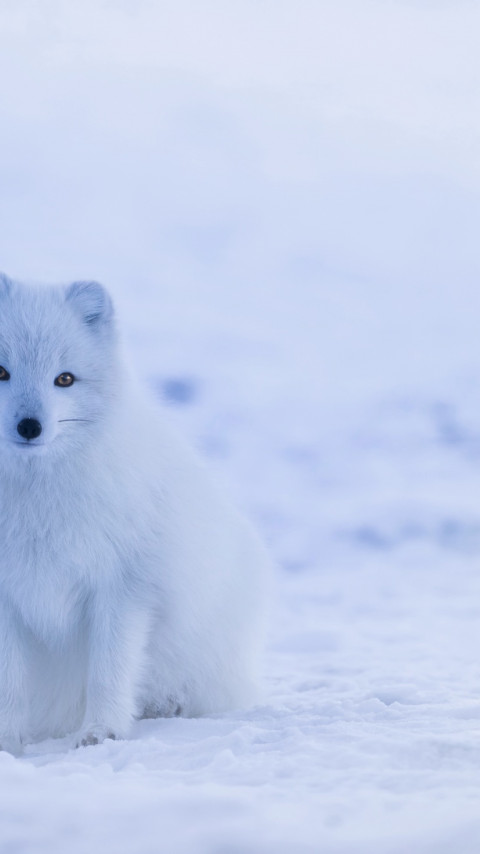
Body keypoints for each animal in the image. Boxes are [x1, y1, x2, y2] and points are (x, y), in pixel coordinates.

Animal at [0, 276, 268, 756]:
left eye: (64, 378)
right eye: (1, 372)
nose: (30, 426)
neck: (35, 500)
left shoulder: (123, 587)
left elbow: (109, 671)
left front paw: (101, 733)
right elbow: (9, 683)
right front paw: (8, 745)